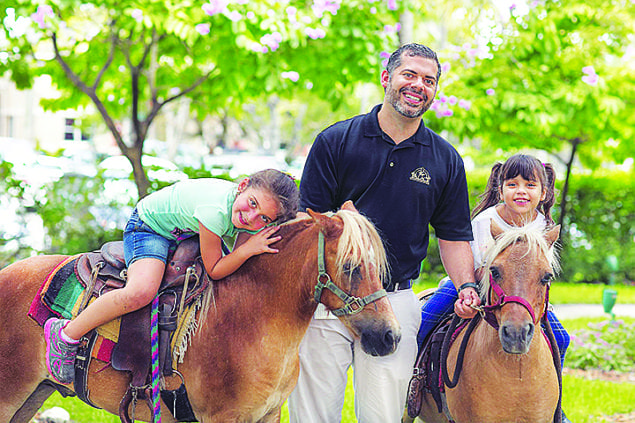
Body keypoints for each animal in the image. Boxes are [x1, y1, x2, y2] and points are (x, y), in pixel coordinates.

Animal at [0, 205, 400, 423]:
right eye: (350, 267)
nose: (390, 336)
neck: (250, 318)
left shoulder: (269, 414)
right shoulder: (223, 417)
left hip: (32, 395)